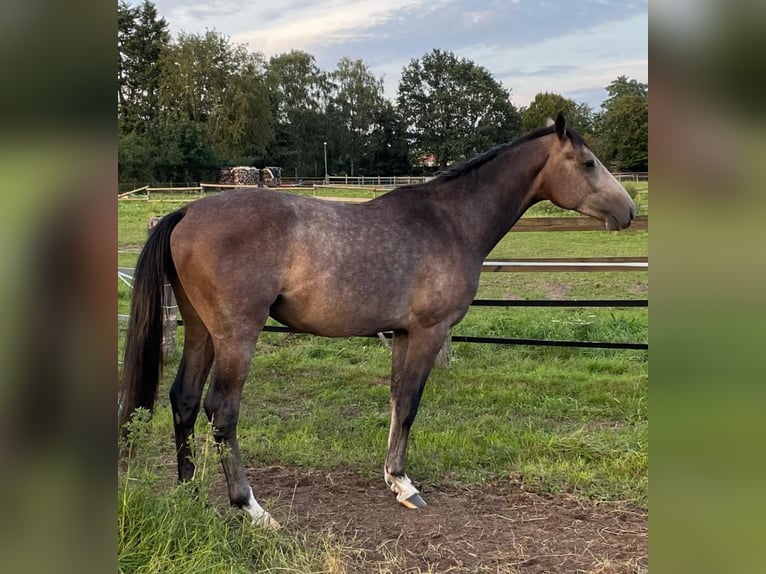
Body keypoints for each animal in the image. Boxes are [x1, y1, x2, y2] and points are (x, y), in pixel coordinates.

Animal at [120, 113, 636, 532]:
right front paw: (406, 485)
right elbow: (409, 404)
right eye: (588, 163)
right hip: (237, 336)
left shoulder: (403, 335)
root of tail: (188, 209)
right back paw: (251, 507)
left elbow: (394, 402)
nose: (628, 211)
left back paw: (189, 494)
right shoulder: (428, 332)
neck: (450, 221)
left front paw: (394, 479)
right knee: (221, 411)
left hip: (201, 331)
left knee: (184, 400)